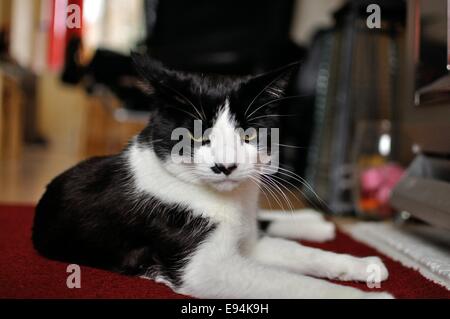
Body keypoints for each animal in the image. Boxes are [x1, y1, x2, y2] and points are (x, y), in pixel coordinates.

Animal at [30, 53, 390, 298]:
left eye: (248, 135)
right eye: (193, 136)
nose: (226, 166)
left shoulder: (248, 245)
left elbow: (299, 254)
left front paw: (364, 265)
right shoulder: (203, 269)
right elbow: (292, 283)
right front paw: (369, 297)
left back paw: (315, 223)